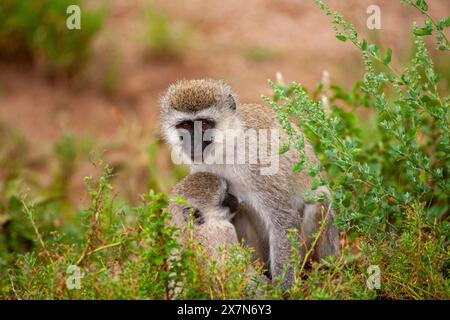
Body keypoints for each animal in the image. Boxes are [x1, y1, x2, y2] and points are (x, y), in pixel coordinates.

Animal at [160, 79, 340, 288]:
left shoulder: (256, 160)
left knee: (319, 198)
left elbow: (284, 219)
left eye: (204, 123)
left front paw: (283, 290)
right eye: (186, 125)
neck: (226, 146)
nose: (193, 143)